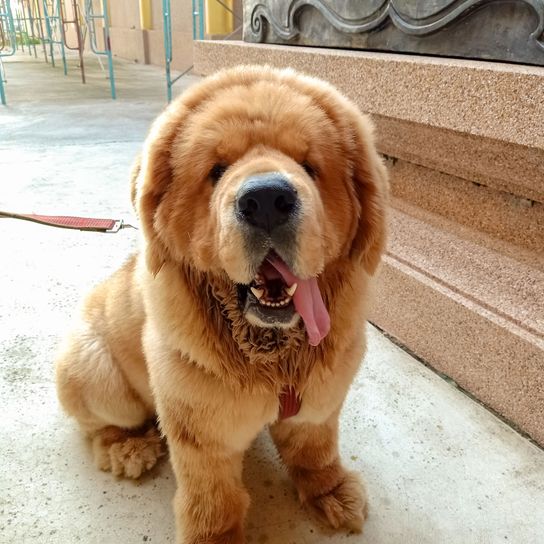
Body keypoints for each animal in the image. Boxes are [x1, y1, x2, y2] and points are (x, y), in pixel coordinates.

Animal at [54, 66, 386, 540]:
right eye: (217, 169)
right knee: (100, 425)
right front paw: (217, 536)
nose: (266, 200)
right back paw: (130, 448)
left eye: (310, 166)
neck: (273, 355)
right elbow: (213, 497)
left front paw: (331, 492)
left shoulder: (322, 391)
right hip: (95, 372)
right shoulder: (202, 428)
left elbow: (315, 447)